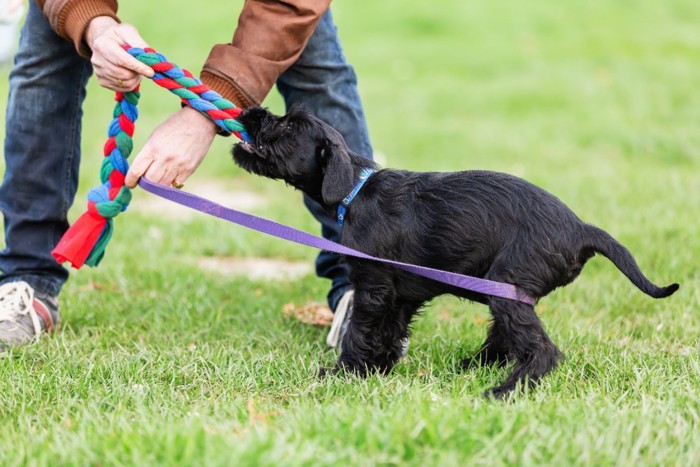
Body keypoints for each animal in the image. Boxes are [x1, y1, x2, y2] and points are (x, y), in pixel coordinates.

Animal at [232, 107, 680, 398]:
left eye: (288, 126)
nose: (252, 111)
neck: (355, 190)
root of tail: (581, 229)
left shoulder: (373, 286)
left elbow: (361, 331)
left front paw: (343, 373)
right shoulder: (399, 295)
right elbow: (389, 332)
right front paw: (378, 370)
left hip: (506, 286)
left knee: (541, 349)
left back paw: (505, 390)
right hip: (506, 291)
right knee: (505, 339)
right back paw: (470, 368)